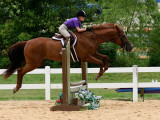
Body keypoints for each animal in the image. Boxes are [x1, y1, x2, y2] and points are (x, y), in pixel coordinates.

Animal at [2, 23, 132, 93]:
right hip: (34, 63)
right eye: (123, 35)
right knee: (20, 71)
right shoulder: (86, 57)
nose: (130, 47)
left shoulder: (93, 54)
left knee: (20, 71)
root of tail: (27, 42)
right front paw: (97, 75)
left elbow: (106, 58)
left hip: (36, 63)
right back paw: (16, 88)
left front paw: (104, 70)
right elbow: (100, 62)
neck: (91, 37)